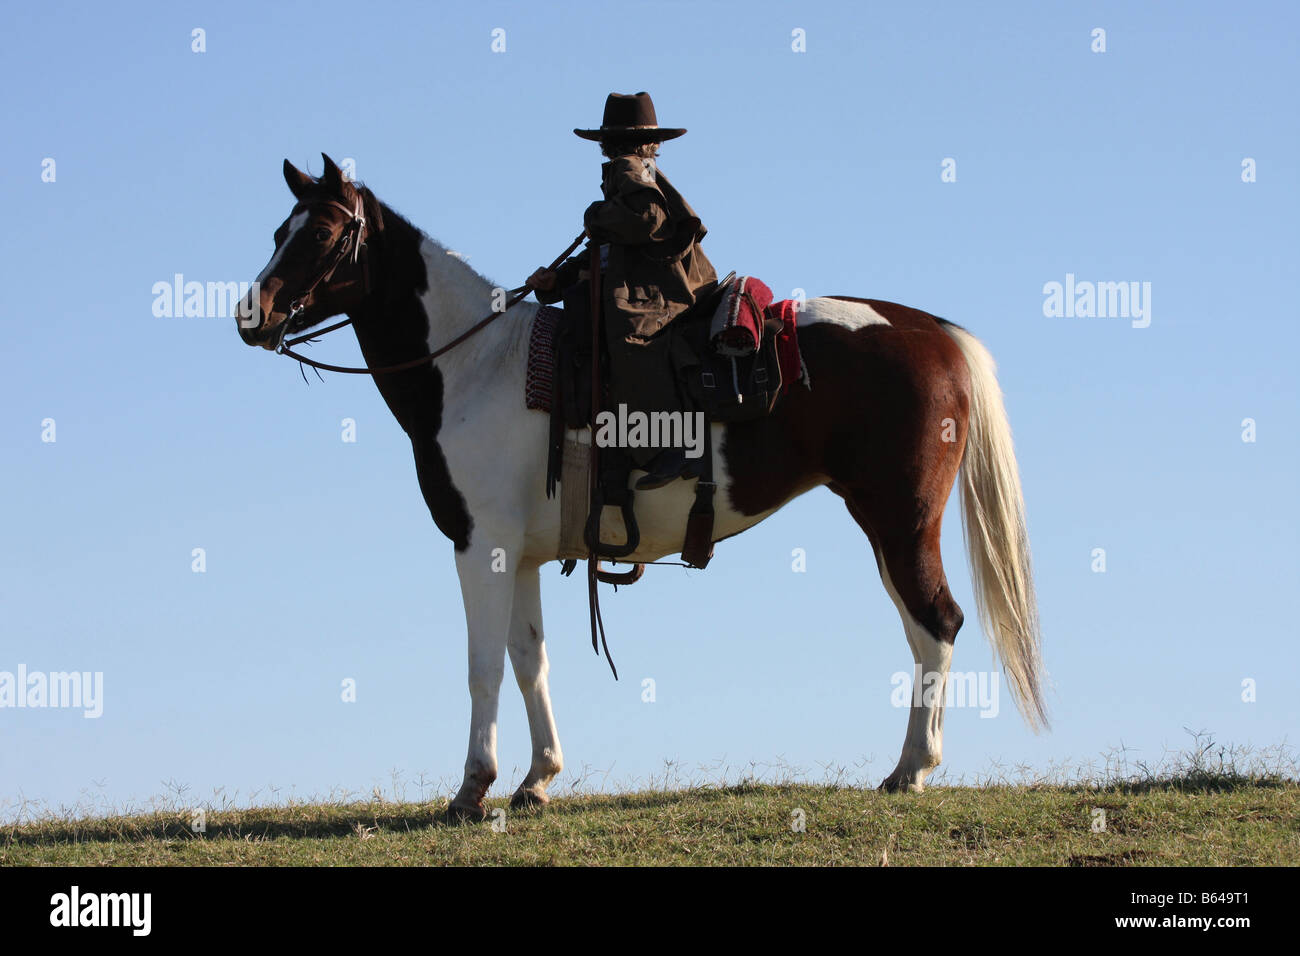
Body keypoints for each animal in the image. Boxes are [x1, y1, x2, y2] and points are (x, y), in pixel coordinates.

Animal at [233, 157, 1045, 822]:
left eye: (320, 233)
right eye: (279, 229)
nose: (251, 315)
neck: (473, 367)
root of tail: (935, 332)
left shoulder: (479, 546)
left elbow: (482, 665)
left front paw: (472, 788)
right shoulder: (520, 555)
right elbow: (529, 659)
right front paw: (537, 779)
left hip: (899, 519)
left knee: (937, 622)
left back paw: (912, 770)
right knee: (920, 629)